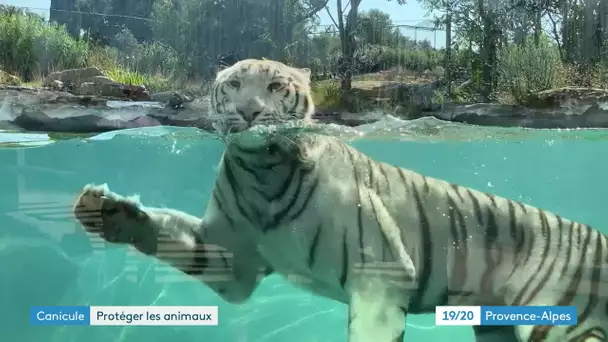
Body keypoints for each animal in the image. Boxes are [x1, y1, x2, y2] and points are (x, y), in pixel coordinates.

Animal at [73, 58, 608, 342]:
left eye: (274, 86)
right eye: (233, 85)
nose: (249, 112)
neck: (263, 171)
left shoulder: (381, 275)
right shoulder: (235, 261)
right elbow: (174, 237)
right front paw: (107, 210)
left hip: (557, 320)